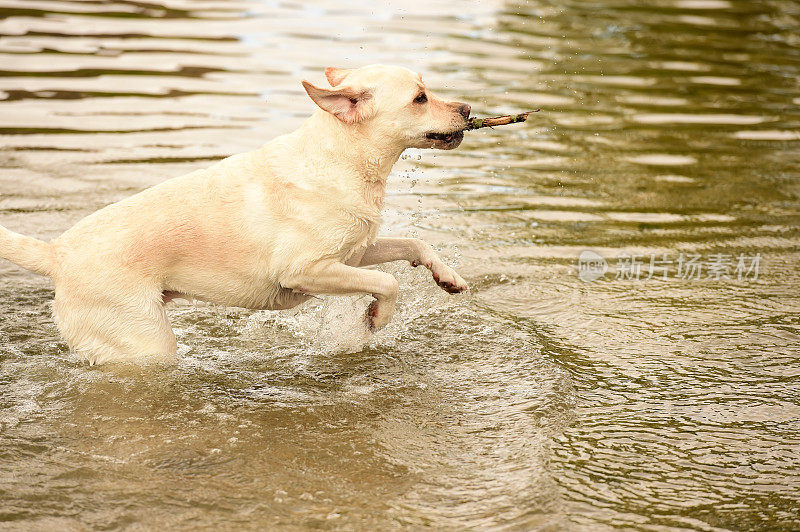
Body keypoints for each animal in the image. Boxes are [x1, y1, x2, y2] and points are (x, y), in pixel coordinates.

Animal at [0, 65, 472, 366]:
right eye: (420, 98)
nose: (467, 109)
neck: (342, 161)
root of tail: (57, 253)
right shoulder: (306, 269)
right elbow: (388, 282)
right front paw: (376, 318)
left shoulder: (355, 253)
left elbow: (414, 244)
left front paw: (449, 278)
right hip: (146, 343)